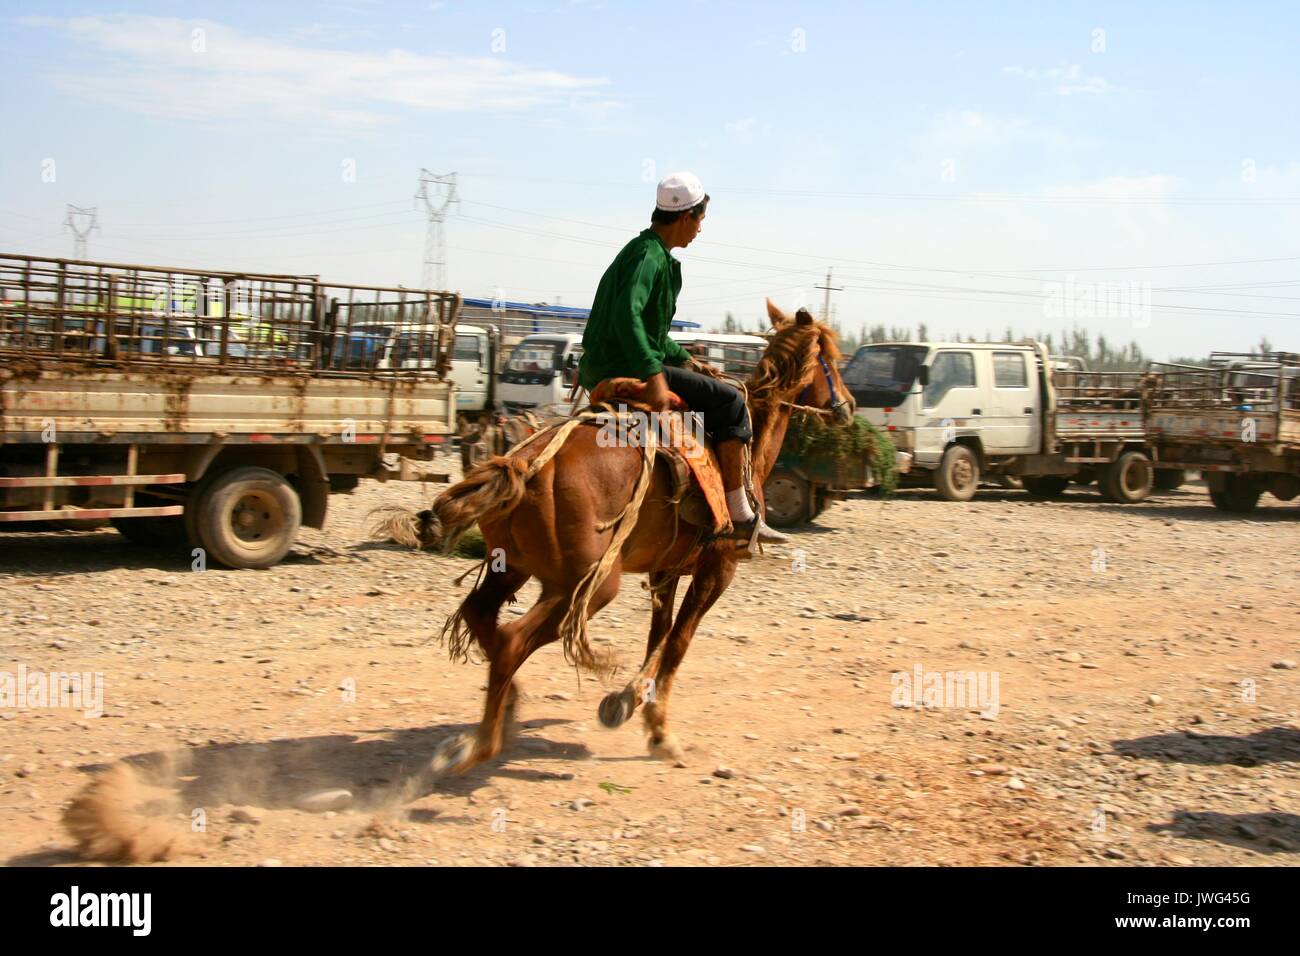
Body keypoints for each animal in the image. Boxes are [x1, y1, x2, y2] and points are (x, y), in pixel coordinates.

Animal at [410, 303, 847, 775]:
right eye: (833, 360)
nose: (849, 404)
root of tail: (525, 465)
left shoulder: (665, 568)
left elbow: (659, 634)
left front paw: (627, 701)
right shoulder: (718, 569)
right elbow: (678, 642)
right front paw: (658, 731)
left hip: (512, 568)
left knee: (479, 616)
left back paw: (507, 708)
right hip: (588, 585)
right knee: (511, 641)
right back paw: (484, 744)